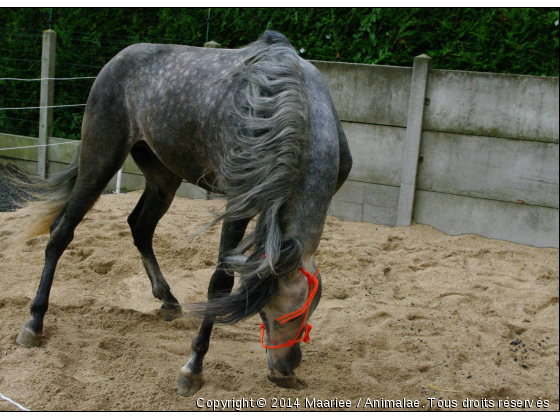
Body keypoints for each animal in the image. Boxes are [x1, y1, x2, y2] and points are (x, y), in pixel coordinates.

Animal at [15, 31, 352, 396]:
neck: (295, 108)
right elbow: (220, 283)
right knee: (61, 232)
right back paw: (34, 323)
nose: (285, 371)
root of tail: (117, 59)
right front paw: (193, 367)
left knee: (139, 226)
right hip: (100, 160)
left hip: (163, 177)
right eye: (277, 313)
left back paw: (168, 299)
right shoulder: (239, 203)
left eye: (309, 311)